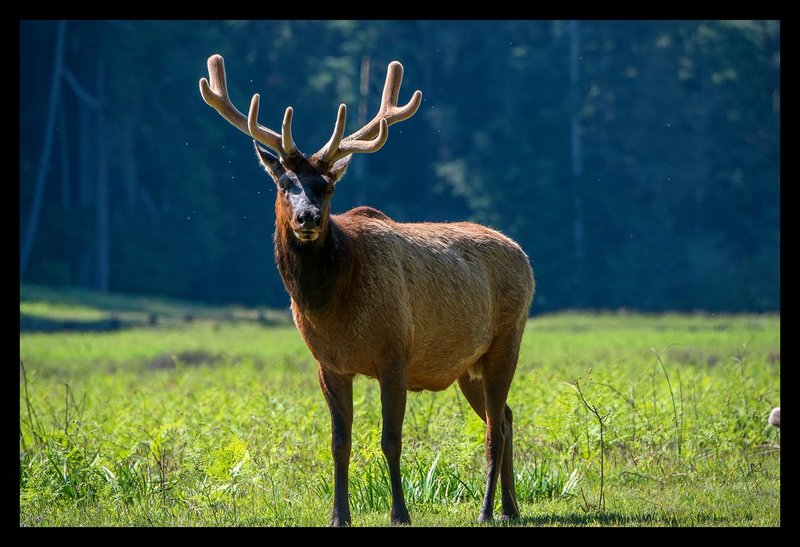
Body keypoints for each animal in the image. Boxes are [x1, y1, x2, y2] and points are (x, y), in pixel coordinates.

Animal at [200, 54, 536, 528]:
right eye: (284, 184)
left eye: (327, 187)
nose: (307, 218)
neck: (335, 311)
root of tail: (524, 256)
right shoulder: (329, 365)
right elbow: (339, 443)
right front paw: (338, 515)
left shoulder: (395, 353)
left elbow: (390, 439)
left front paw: (401, 513)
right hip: (467, 366)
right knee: (504, 416)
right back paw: (511, 507)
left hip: (507, 339)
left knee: (493, 428)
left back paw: (487, 510)